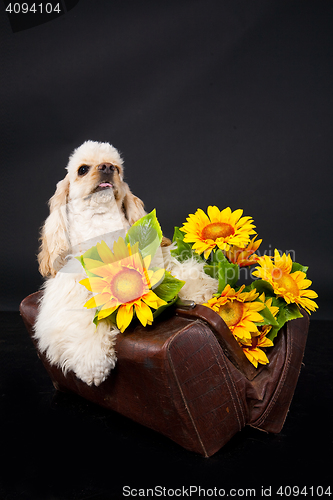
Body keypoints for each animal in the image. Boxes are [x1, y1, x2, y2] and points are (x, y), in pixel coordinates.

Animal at [35, 141, 217, 386]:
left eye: (117, 169)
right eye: (82, 169)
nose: (106, 167)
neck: (101, 223)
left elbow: (177, 273)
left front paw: (201, 288)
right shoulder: (66, 296)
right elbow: (80, 319)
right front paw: (94, 364)